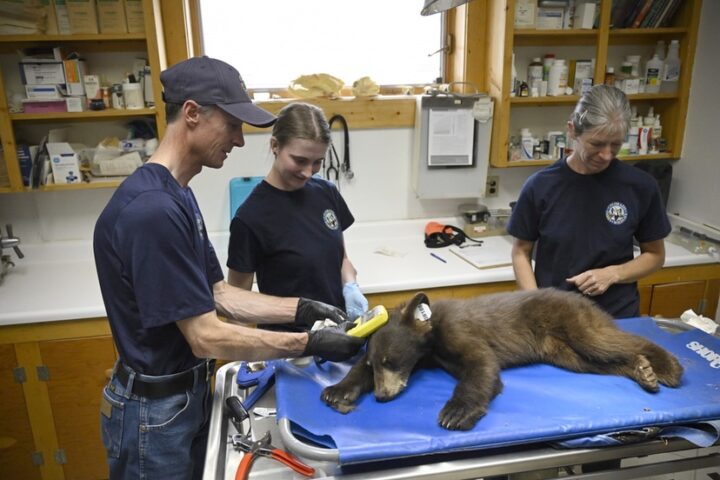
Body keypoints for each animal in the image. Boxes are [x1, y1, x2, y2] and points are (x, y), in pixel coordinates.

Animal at [321, 288, 684, 431]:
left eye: (392, 360)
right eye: (375, 364)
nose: (382, 396)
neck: (432, 336)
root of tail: (582, 299)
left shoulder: (459, 333)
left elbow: (481, 365)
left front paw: (455, 412)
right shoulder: (426, 355)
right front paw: (338, 390)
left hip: (576, 325)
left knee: (611, 342)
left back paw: (668, 366)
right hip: (563, 352)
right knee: (598, 361)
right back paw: (643, 371)